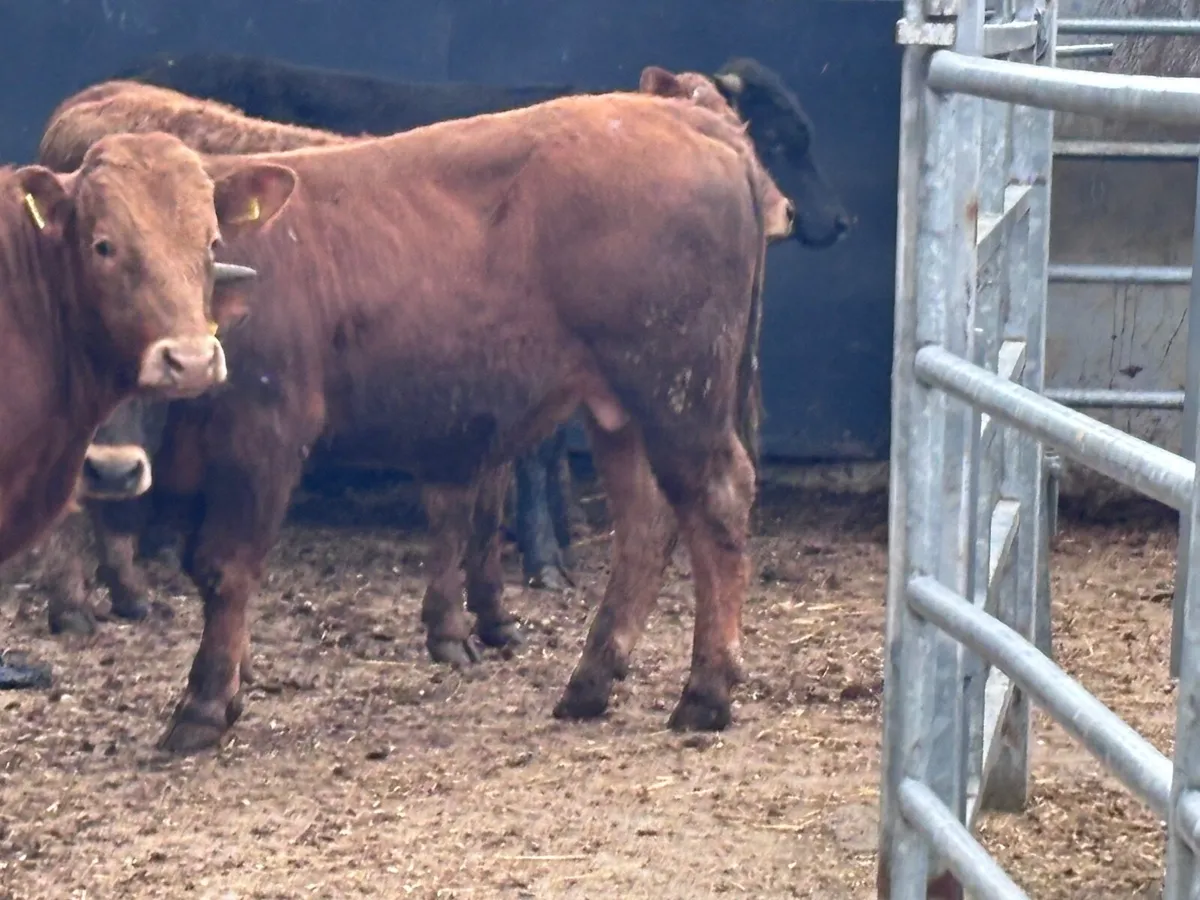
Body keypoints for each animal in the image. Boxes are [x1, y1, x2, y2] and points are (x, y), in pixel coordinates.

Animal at [36, 69, 788, 753]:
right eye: (100, 246)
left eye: (208, 244)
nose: (113, 467)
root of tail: (688, 122)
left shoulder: (265, 436)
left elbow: (225, 567)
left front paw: (203, 705)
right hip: (621, 410)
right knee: (644, 526)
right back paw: (591, 680)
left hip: (677, 396)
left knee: (717, 502)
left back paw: (706, 692)